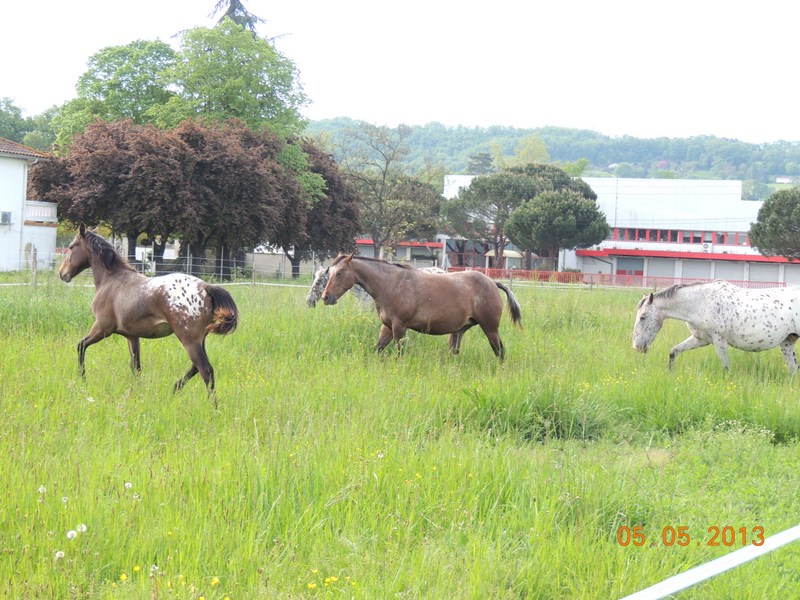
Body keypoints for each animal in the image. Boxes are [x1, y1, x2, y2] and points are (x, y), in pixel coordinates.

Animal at [58, 223, 238, 396]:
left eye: (72, 247)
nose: (62, 273)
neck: (110, 280)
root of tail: (205, 287)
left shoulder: (102, 328)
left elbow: (81, 346)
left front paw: (82, 379)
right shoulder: (132, 336)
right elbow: (136, 366)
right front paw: (139, 390)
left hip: (189, 340)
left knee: (206, 370)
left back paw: (211, 404)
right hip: (200, 340)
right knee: (196, 368)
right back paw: (174, 389)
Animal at [322, 252, 520, 356]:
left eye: (339, 273)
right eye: (329, 272)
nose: (325, 297)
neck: (391, 284)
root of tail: (492, 282)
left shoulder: (399, 327)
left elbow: (400, 352)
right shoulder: (387, 327)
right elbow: (378, 349)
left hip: (490, 328)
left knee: (500, 351)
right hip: (459, 331)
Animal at [632, 280, 800, 370]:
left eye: (642, 317)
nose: (637, 347)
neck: (701, 302)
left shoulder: (719, 340)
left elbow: (725, 366)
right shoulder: (700, 339)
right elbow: (674, 351)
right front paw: (670, 372)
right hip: (787, 343)